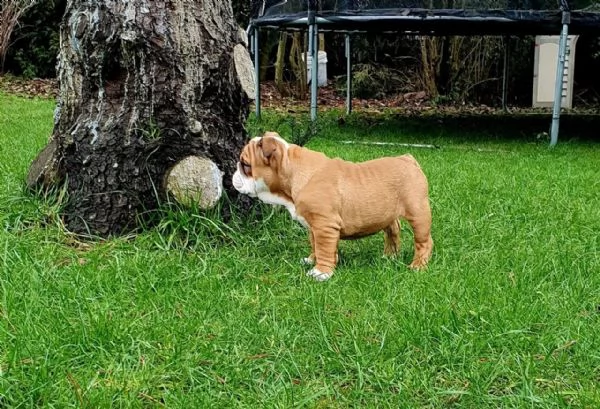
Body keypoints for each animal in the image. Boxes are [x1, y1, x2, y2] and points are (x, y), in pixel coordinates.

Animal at [232, 132, 434, 278]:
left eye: (245, 164)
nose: (233, 174)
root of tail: (406, 158)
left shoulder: (324, 226)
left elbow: (324, 249)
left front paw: (320, 273)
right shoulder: (314, 227)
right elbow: (316, 245)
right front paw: (311, 260)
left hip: (418, 212)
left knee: (424, 241)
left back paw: (418, 266)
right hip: (387, 213)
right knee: (393, 229)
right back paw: (389, 256)